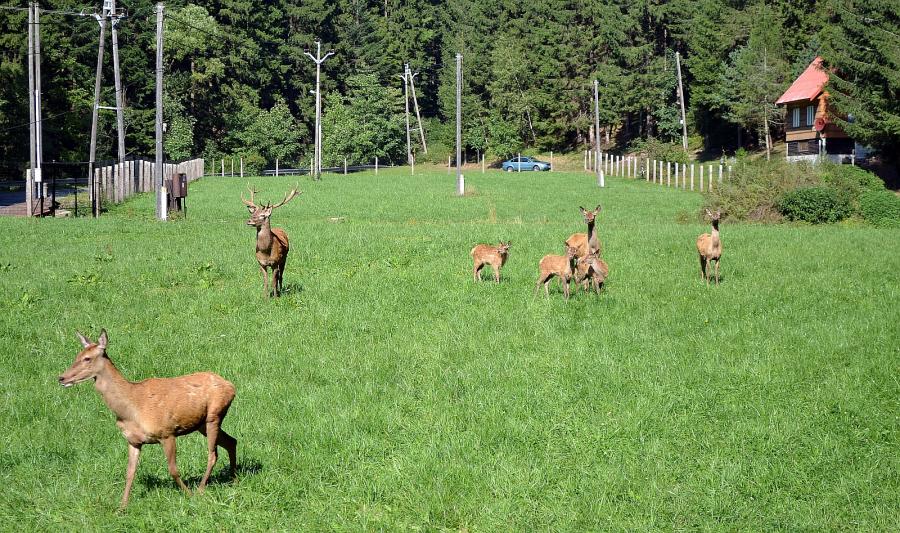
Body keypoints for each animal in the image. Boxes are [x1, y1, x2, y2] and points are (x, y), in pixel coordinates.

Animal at [58, 328, 237, 508]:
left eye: (87, 358)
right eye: (77, 355)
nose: (61, 378)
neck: (131, 408)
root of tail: (231, 386)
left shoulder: (167, 432)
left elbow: (173, 470)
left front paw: (189, 495)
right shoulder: (133, 440)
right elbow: (130, 472)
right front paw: (122, 507)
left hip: (214, 415)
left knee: (213, 454)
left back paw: (201, 489)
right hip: (202, 424)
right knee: (231, 441)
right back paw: (233, 479)